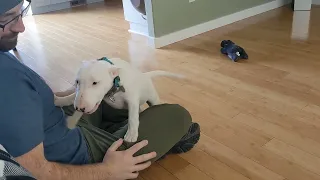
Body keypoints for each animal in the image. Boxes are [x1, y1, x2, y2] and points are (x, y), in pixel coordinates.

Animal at [54, 57, 184, 142]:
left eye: (95, 82)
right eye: (77, 82)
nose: (80, 108)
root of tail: (145, 75)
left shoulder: (132, 99)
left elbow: (132, 117)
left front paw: (131, 135)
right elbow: (72, 97)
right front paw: (66, 111)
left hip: (152, 98)